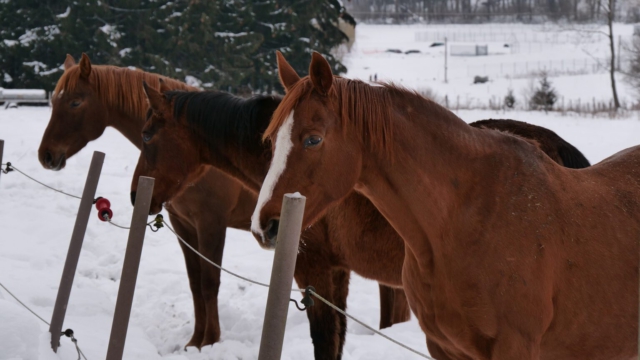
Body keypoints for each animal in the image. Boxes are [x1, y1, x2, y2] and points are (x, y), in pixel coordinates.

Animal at [136, 74, 596, 358]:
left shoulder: (315, 271)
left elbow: (326, 342)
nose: (136, 193)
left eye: (148, 135)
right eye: (269, 139)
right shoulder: (339, 274)